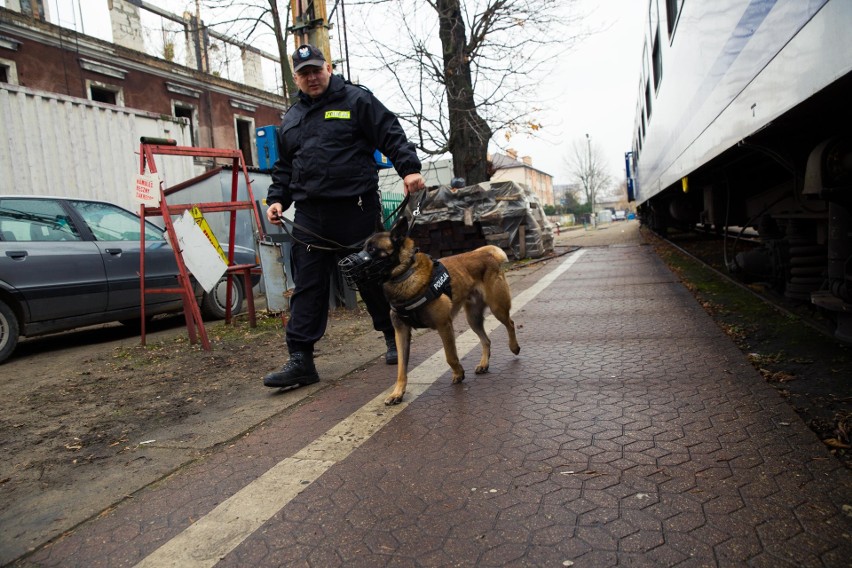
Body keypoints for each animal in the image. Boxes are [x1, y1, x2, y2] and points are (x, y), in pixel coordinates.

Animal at [342, 215, 524, 406]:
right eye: (363, 248)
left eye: (373, 250)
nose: (345, 265)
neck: (405, 274)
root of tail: (485, 254)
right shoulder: (401, 332)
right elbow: (401, 367)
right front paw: (397, 393)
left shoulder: (444, 325)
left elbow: (450, 355)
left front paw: (459, 372)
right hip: (473, 318)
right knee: (486, 340)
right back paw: (484, 364)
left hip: (497, 308)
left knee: (510, 323)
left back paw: (514, 347)